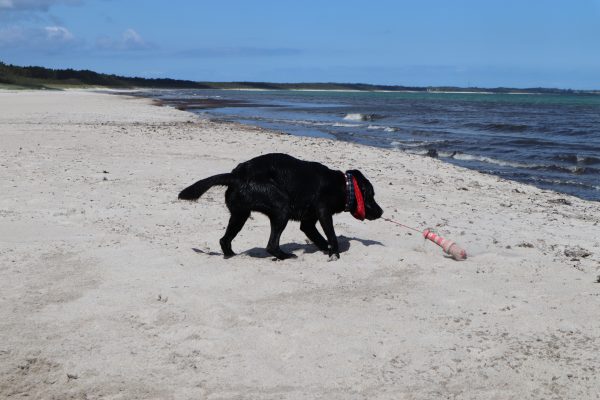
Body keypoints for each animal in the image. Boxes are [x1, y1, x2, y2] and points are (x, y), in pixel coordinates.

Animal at [178, 153, 383, 260]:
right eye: (371, 196)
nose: (381, 212)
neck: (344, 186)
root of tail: (236, 175)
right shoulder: (324, 213)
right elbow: (331, 235)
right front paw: (335, 253)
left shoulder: (308, 223)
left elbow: (319, 237)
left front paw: (327, 249)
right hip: (281, 207)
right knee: (271, 245)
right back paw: (286, 256)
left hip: (239, 215)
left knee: (224, 240)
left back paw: (232, 255)